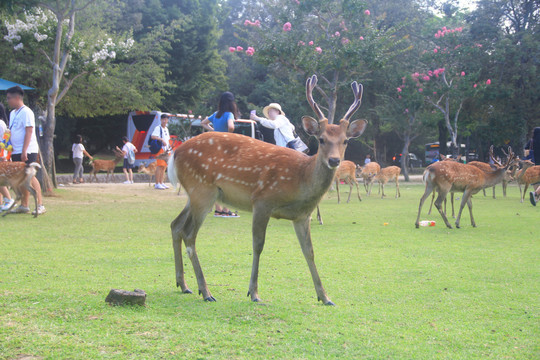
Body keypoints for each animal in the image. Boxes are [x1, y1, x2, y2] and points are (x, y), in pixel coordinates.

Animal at [165, 74, 368, 306]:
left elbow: (309, 251)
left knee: (176, 226)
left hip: (195, 194)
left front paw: (325, 297)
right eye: (321, 139)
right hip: (202, 191)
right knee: (189, 234)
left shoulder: (302, 216)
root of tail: (175, 152)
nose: (334, 160)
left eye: (345, 140)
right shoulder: (262, 200)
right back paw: (205, 291)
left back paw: (183, 285)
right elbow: (258, 245)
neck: (301, 180)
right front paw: (253, 293)